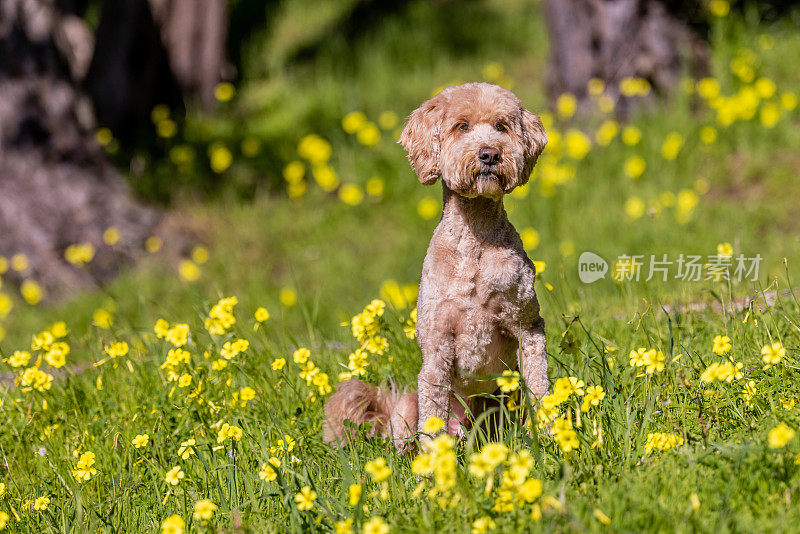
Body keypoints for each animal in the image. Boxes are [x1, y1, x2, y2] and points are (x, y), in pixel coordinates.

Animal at [322, 81, 548, 454]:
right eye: (462, 126)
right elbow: (432, 412)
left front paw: (550, 434)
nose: (490, 154)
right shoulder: (438, 346)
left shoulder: (528, 328)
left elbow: (541, 387)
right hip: (405, 409)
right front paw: (433, 463)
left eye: (502, 126)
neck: (475, 244)